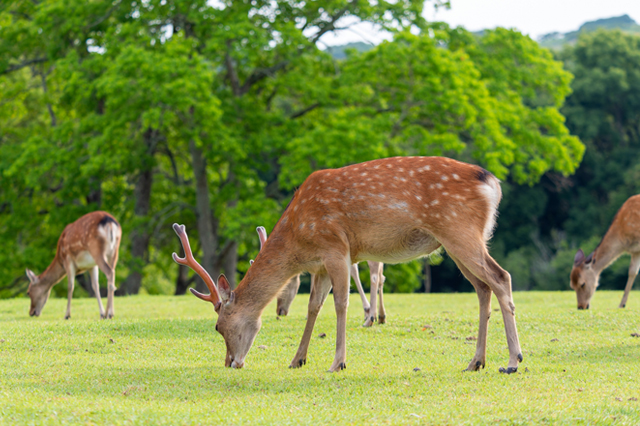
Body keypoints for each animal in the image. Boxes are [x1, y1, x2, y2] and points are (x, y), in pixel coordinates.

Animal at [254, 226, 384, 322]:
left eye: (284, 286)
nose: (279, 311)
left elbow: (353, 269)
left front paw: (367, 310)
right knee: (380, 272)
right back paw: (381, 316)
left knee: (374, 267)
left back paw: (371, 316)